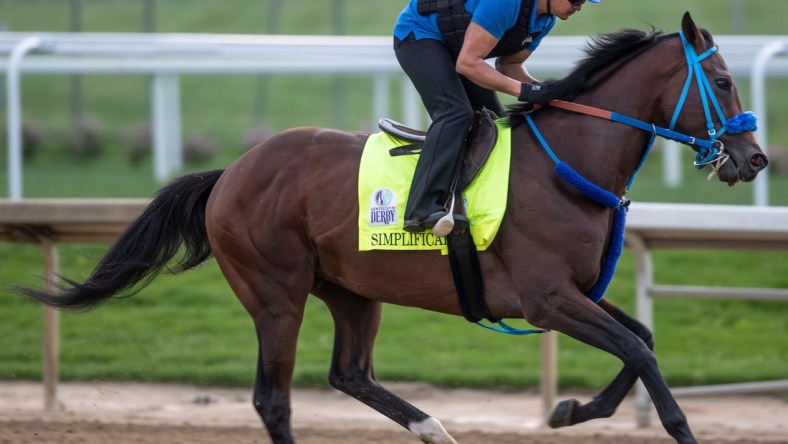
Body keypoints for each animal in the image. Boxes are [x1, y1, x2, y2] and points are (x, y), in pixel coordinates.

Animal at [13, 13, 768, 444]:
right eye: (723, 82)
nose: (755, 158)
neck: (566, 166)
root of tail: (231, 172)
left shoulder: (576, 293)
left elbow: (641, 342)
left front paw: (568, 411)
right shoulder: (548, 299)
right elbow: (641, 355)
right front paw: (667, 426)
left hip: (352, 290)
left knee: (348, 373)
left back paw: (433, 428)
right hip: (276, 293)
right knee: (273, 399)